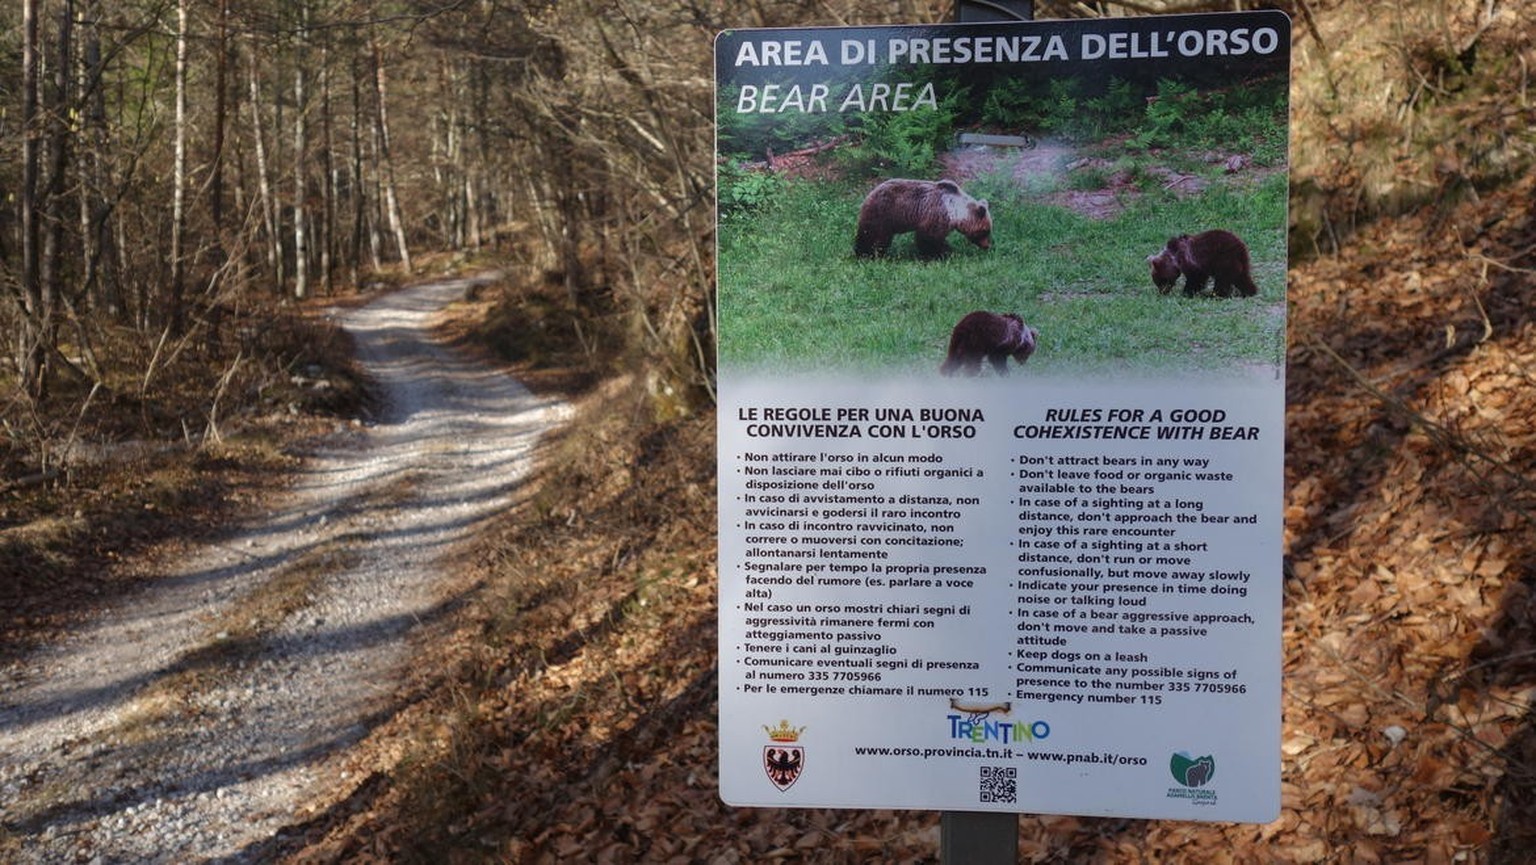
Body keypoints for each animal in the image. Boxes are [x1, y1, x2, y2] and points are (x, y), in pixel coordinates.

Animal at [854, 179, 995, 261]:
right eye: (985, 231)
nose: (987, 245)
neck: (955, 211)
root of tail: (870, 194)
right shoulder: (936, 214)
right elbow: (929, 239)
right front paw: (944, 253)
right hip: (882, 213)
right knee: (871, 235)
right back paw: (865, 254)